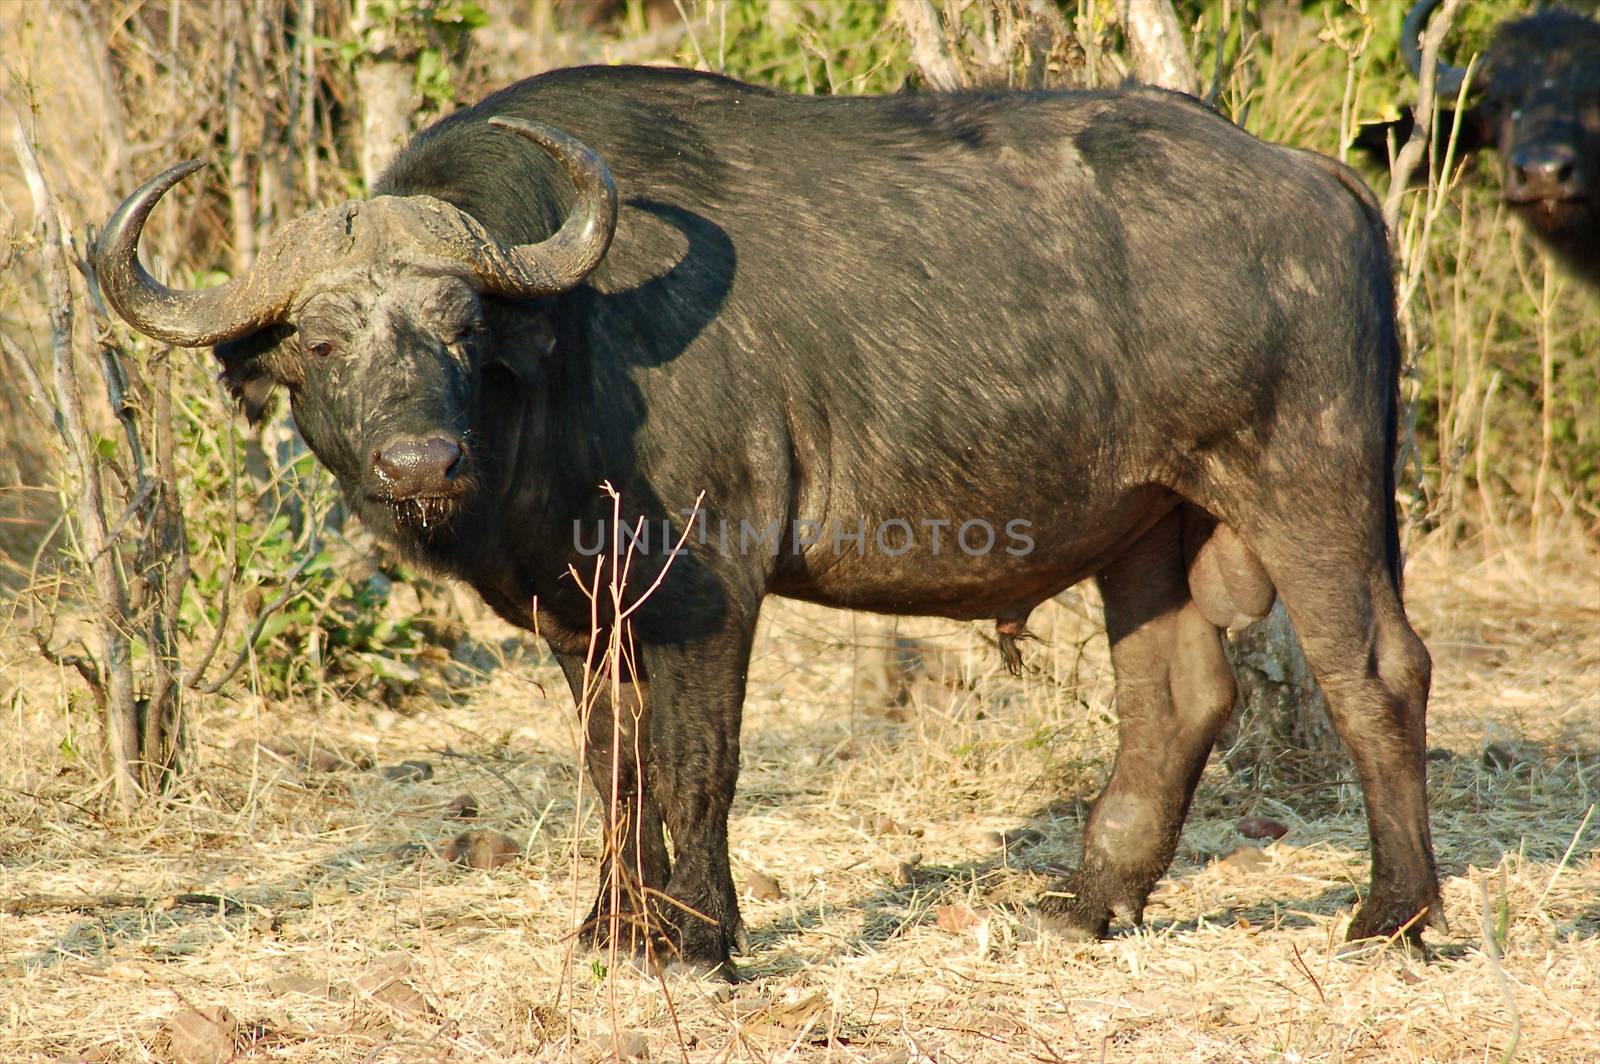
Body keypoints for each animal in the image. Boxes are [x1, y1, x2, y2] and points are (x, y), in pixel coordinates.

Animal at [93, 64, 1446, 979]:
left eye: (460, 327)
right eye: (322, 342)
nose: (420, 456)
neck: (569, 351)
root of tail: (1315, 176)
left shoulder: (706, 588)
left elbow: (696, 759)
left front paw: (696, 935)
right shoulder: (580, 611)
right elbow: (615, 764)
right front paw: (615, 925)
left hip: (1308, 481)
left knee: (1374, 668)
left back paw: (1394, 911)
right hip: (1146, 529)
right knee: (1177, 696)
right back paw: (1087, 900)